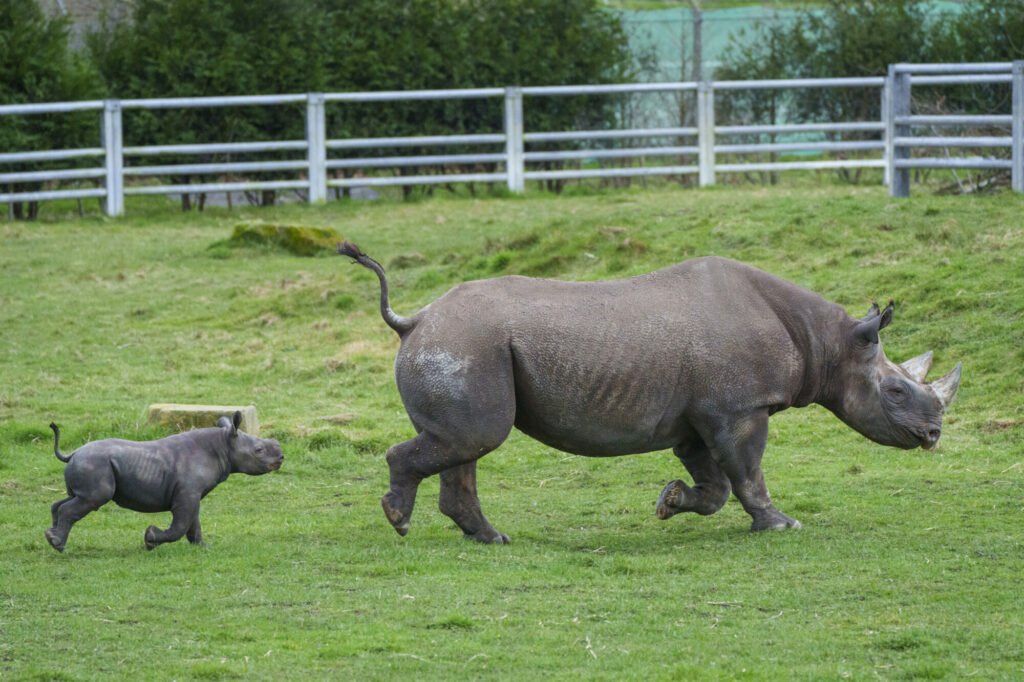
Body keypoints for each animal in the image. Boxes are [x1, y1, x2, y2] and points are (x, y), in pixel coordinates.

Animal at [45, 412, 283, 552]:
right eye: (259, 450)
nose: (281, 457)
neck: (223, 444)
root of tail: (72, 454)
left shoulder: (192, 493)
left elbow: (193, 522)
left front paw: (202, 547)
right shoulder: (187, 494)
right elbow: (180, 524)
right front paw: (150, 539)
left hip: (88, 464)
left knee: (72, 499)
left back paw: (53, 538)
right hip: (94, 464)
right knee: (91, 500)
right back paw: (57, 544)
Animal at [338, 241, 961, 544]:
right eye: (895, 391)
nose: (933, 435)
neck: (828, 342)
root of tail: (413, 320)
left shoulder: (699, 417)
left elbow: (715, 484)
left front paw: (669, 503)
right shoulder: (739, 407)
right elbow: (748, 472)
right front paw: (781, 526)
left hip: (462, 344)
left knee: (463, 443)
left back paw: (491, 540)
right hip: (465, 343)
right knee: (473, 438)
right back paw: (400, 521)